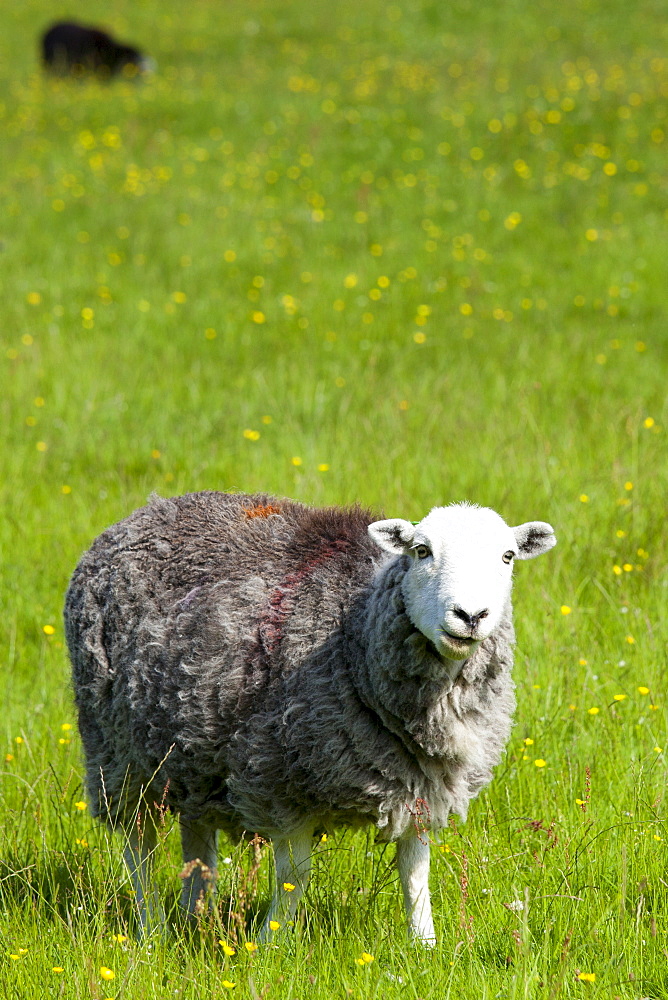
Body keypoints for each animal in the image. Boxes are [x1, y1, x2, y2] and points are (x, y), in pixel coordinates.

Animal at [65, 492, 556, 944]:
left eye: (508, 556)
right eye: (421, 551)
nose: (470, 616)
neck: (353, 633)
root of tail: (149, 510)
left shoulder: (419, 786)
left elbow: (415, 871)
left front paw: (425, 946)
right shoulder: (280, 783)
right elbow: (294, 876)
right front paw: (268, 945)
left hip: (188, 751)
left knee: (196, 839)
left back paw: (194, 916)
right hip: (118, 752)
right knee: (140, 849)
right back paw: (151, 932)